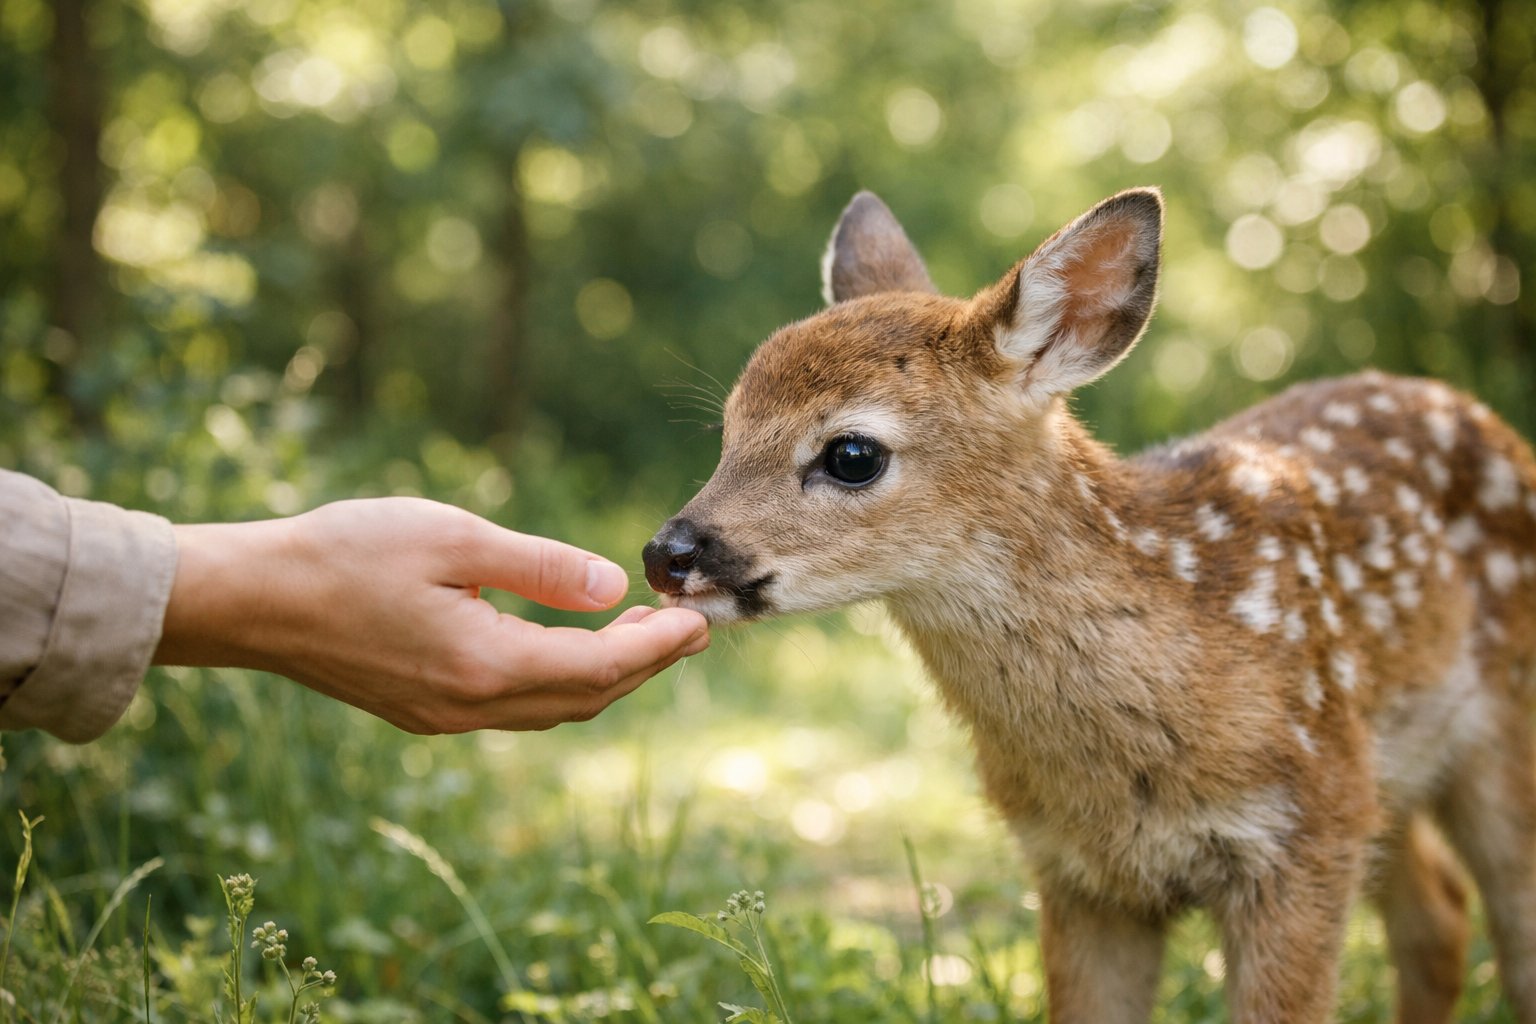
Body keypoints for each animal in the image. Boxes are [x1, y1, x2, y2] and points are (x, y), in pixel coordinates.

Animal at [641, 187, 1536, 1022]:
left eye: (852, 454)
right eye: (727, 431)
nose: (666, 554)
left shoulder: (1305, 834)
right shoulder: (1077, 874)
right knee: (1439, 916)